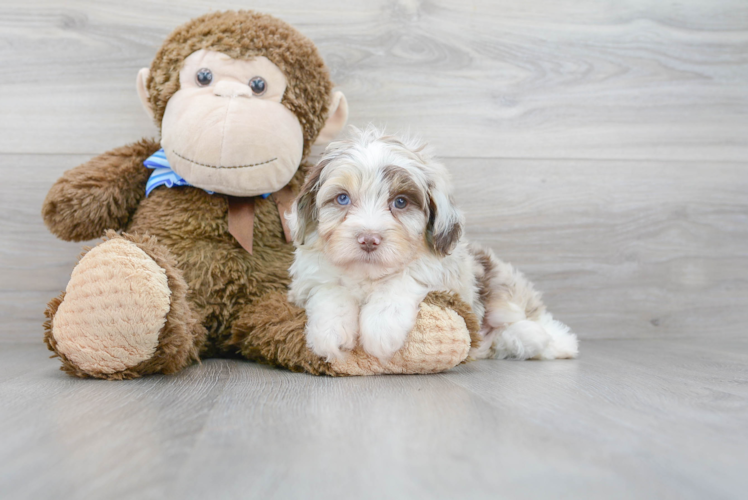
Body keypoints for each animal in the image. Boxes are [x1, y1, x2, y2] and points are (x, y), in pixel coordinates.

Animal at [286, 127, 580, 362]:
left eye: (401, 202)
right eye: (343, 198)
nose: (369, 239)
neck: (367, 276)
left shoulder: (440, 272)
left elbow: (402, 280)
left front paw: (381, 328)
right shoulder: (311, 277)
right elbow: (330, 290)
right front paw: (331, 333)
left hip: (495, 280)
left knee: (524, 315)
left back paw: (556, 341)